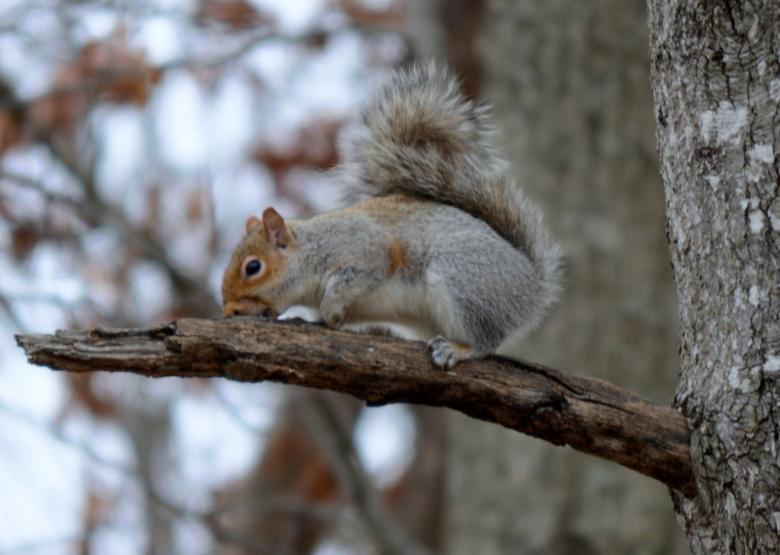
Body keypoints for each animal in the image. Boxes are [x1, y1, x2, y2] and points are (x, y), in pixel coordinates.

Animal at [221, 64, 562, 368]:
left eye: (253, 267)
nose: (229, 311)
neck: (311, 251)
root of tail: (533, 288)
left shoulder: (365, 250)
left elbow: (363, 272)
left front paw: (331, 311)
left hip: (463, 279)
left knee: (485, 342)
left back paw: (458, 349)